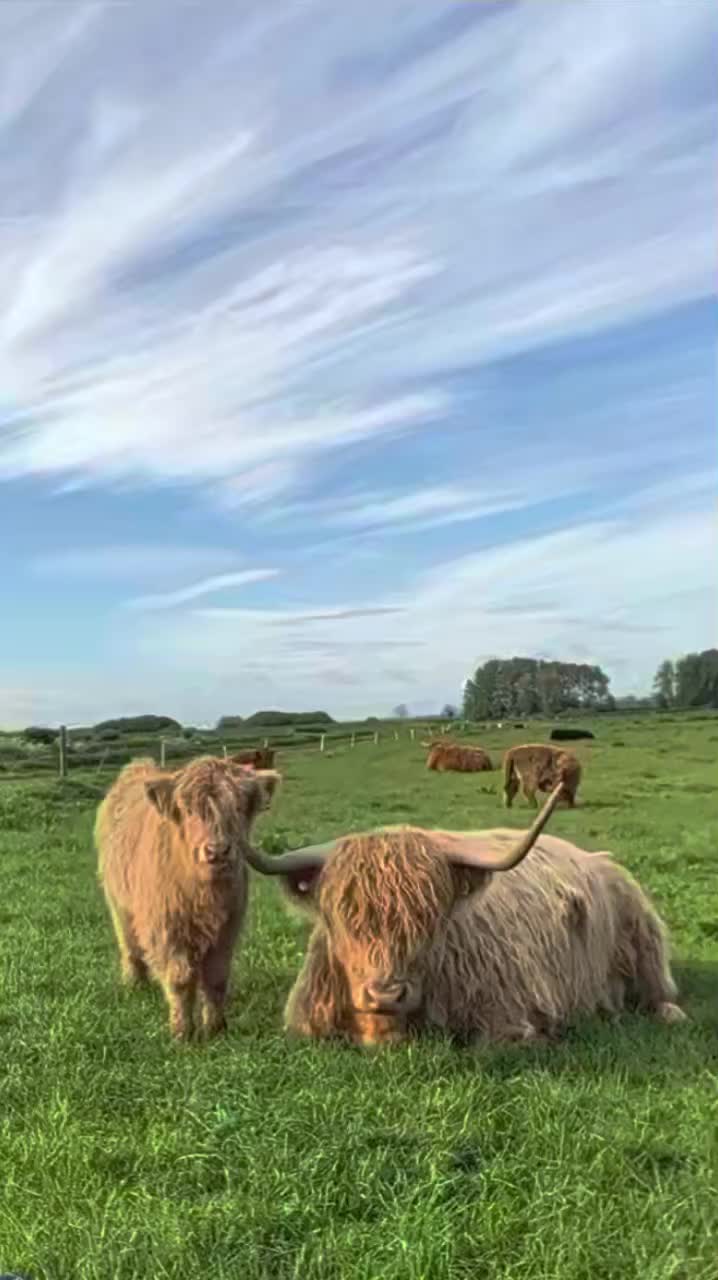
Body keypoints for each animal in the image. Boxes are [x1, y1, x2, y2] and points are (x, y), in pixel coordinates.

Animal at [95, 756, 281, 1040]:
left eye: (237, 807)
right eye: (189, 809)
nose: (217, 850)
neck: (204, 893)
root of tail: (136, 768)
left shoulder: (228, 928)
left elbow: (216, 977)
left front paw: (216, 1028)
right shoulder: (167, 929)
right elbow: (180, 979)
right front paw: (182, 1033)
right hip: (118, 904)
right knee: (129, 945)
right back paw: (134, 983)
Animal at [243, 786, 686, 1048]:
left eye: (428, 915)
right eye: (340, 914)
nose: (385, 994)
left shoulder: (507, 1019)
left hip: (643, 941)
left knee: (659, 990)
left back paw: (668, 1014)